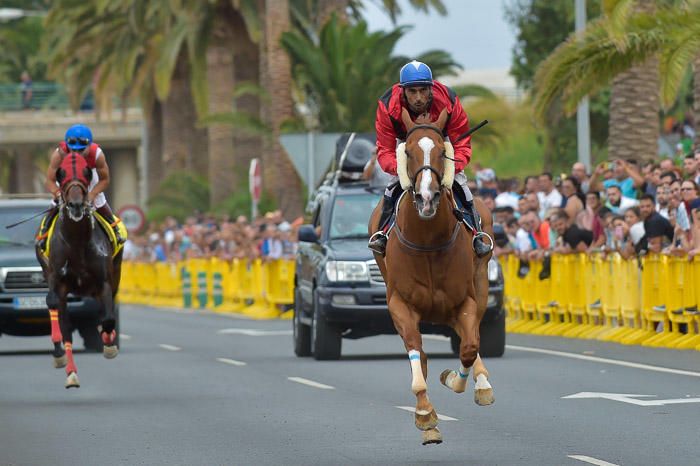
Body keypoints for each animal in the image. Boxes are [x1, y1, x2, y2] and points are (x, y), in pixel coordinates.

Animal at [35, 154, 122, 390]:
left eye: (86, 172)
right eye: (61, 173)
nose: (75, 205)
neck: (76, 242)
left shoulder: (104, 282)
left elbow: (108, 318)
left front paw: (108, 343)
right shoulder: (58, 282)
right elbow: (60, 317)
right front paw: (62, 359)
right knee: (63, 323)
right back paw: (68, 368)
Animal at [370, 108, 494, 444]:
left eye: (442, 151)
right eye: (408, 152)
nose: (427, 198)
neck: (427, 240)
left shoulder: (464, 301)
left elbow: (469, 348)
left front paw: (454, 379)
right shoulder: (400, 304)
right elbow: (416, 353)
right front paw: (426, 415)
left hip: (481, 283)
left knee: (472, 340)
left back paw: (482, 383)